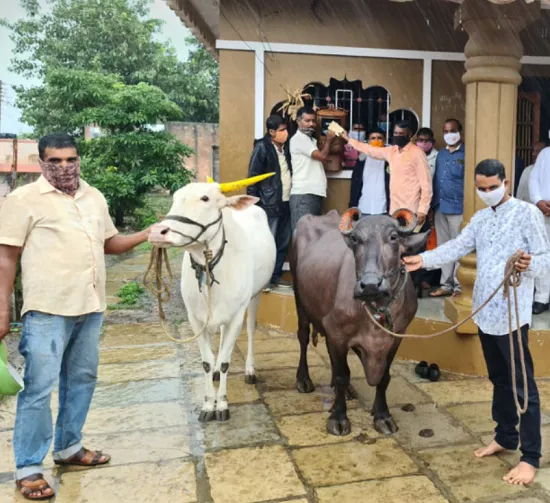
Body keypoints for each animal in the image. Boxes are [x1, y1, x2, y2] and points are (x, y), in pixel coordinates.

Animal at [149, 180, 276, 422]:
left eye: (205, 198)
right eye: (175, 197)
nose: (157, 232)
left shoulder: (237, 314)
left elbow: (226, 361)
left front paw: (223, 404)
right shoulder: (195, 319)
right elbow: (206, 362)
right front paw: (208, 405)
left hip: (254, 298)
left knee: (250, 330)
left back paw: (250, 370)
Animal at [290, 208, 429, 436]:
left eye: (394, 237)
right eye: (355, 239)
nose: (370, 284)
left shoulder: (396, 337)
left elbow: (384, 377)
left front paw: (382, 415)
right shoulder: (337, 333)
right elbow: (342, 375)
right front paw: (338, 417)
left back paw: (347, 391)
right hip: (299, 298)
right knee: (303, 336)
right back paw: (303, 379)